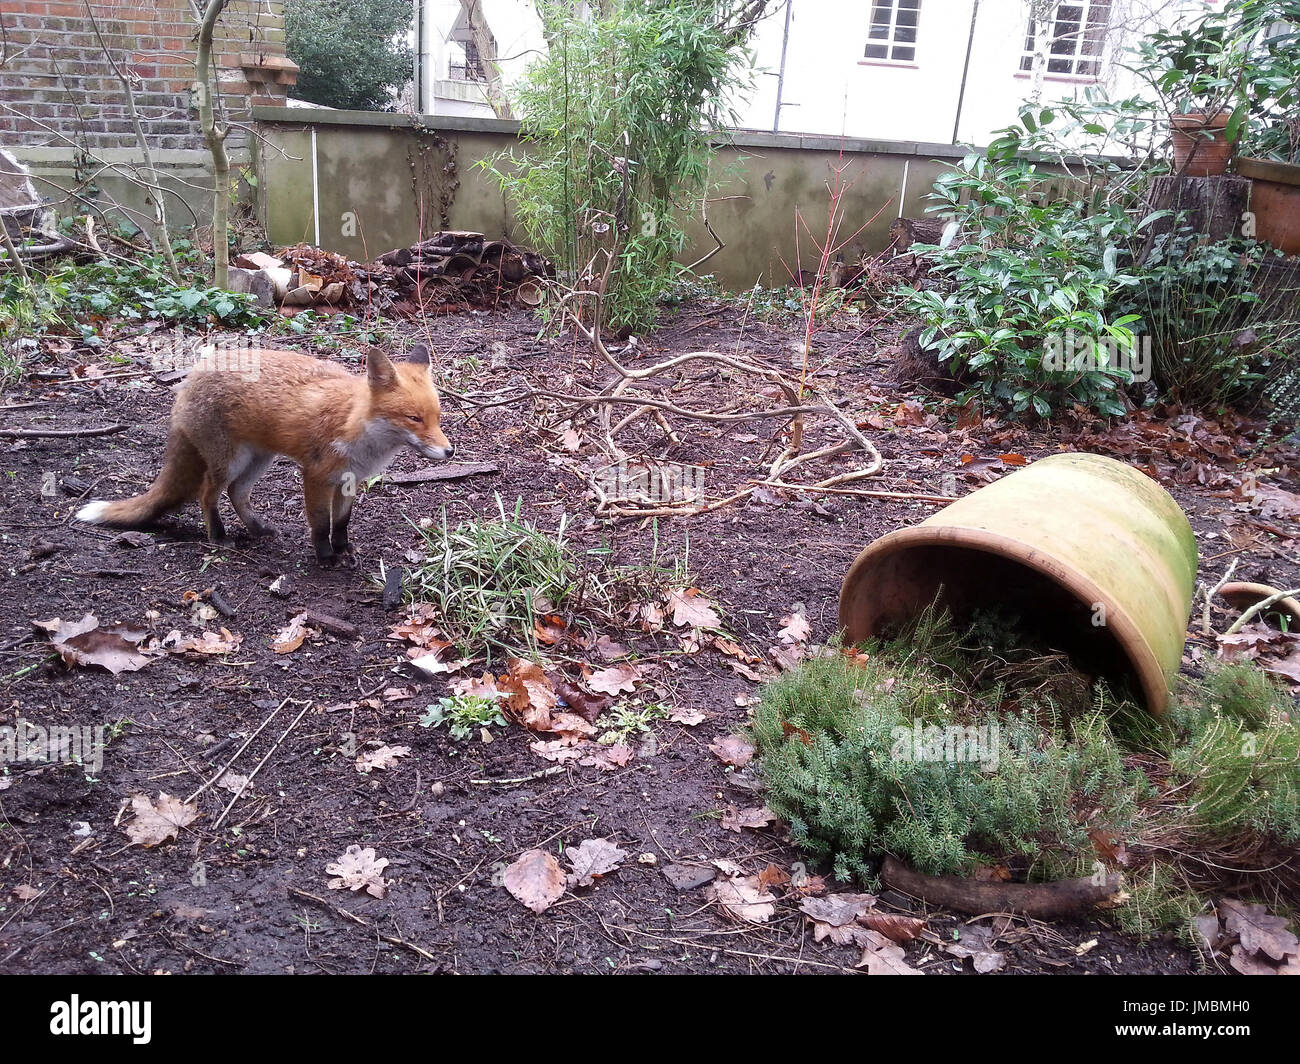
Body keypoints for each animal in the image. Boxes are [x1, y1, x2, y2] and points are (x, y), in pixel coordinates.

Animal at [76, 343, 453, 567]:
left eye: (437, 417)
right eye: (414, 418)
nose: (449, 451)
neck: (355, 425)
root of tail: (192, 376)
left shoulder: (349, 480)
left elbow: (342, 522)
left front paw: (344, 549)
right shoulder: (316, 477)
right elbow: (320, 524)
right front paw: (326, 557)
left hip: (258, 461)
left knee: (236, 494)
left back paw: (257, 528)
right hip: (229, 462)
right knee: (207, 494)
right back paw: (218, 536)